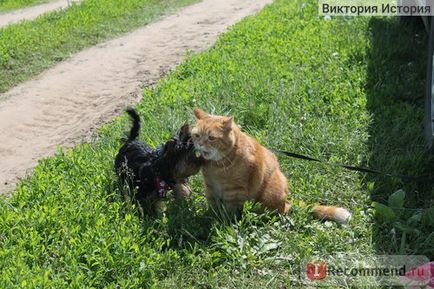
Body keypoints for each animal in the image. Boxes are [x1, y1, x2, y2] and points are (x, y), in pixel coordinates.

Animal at [192, 108, 350, 223]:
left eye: (211, 138)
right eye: (197, 136)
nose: (199, 144)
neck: (217, 166)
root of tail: (286, 202)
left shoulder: (235, 191)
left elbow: (229, 211)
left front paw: (223, 222)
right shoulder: (210, 187)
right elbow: (213, 206)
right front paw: (210, 217)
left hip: (271, 192)